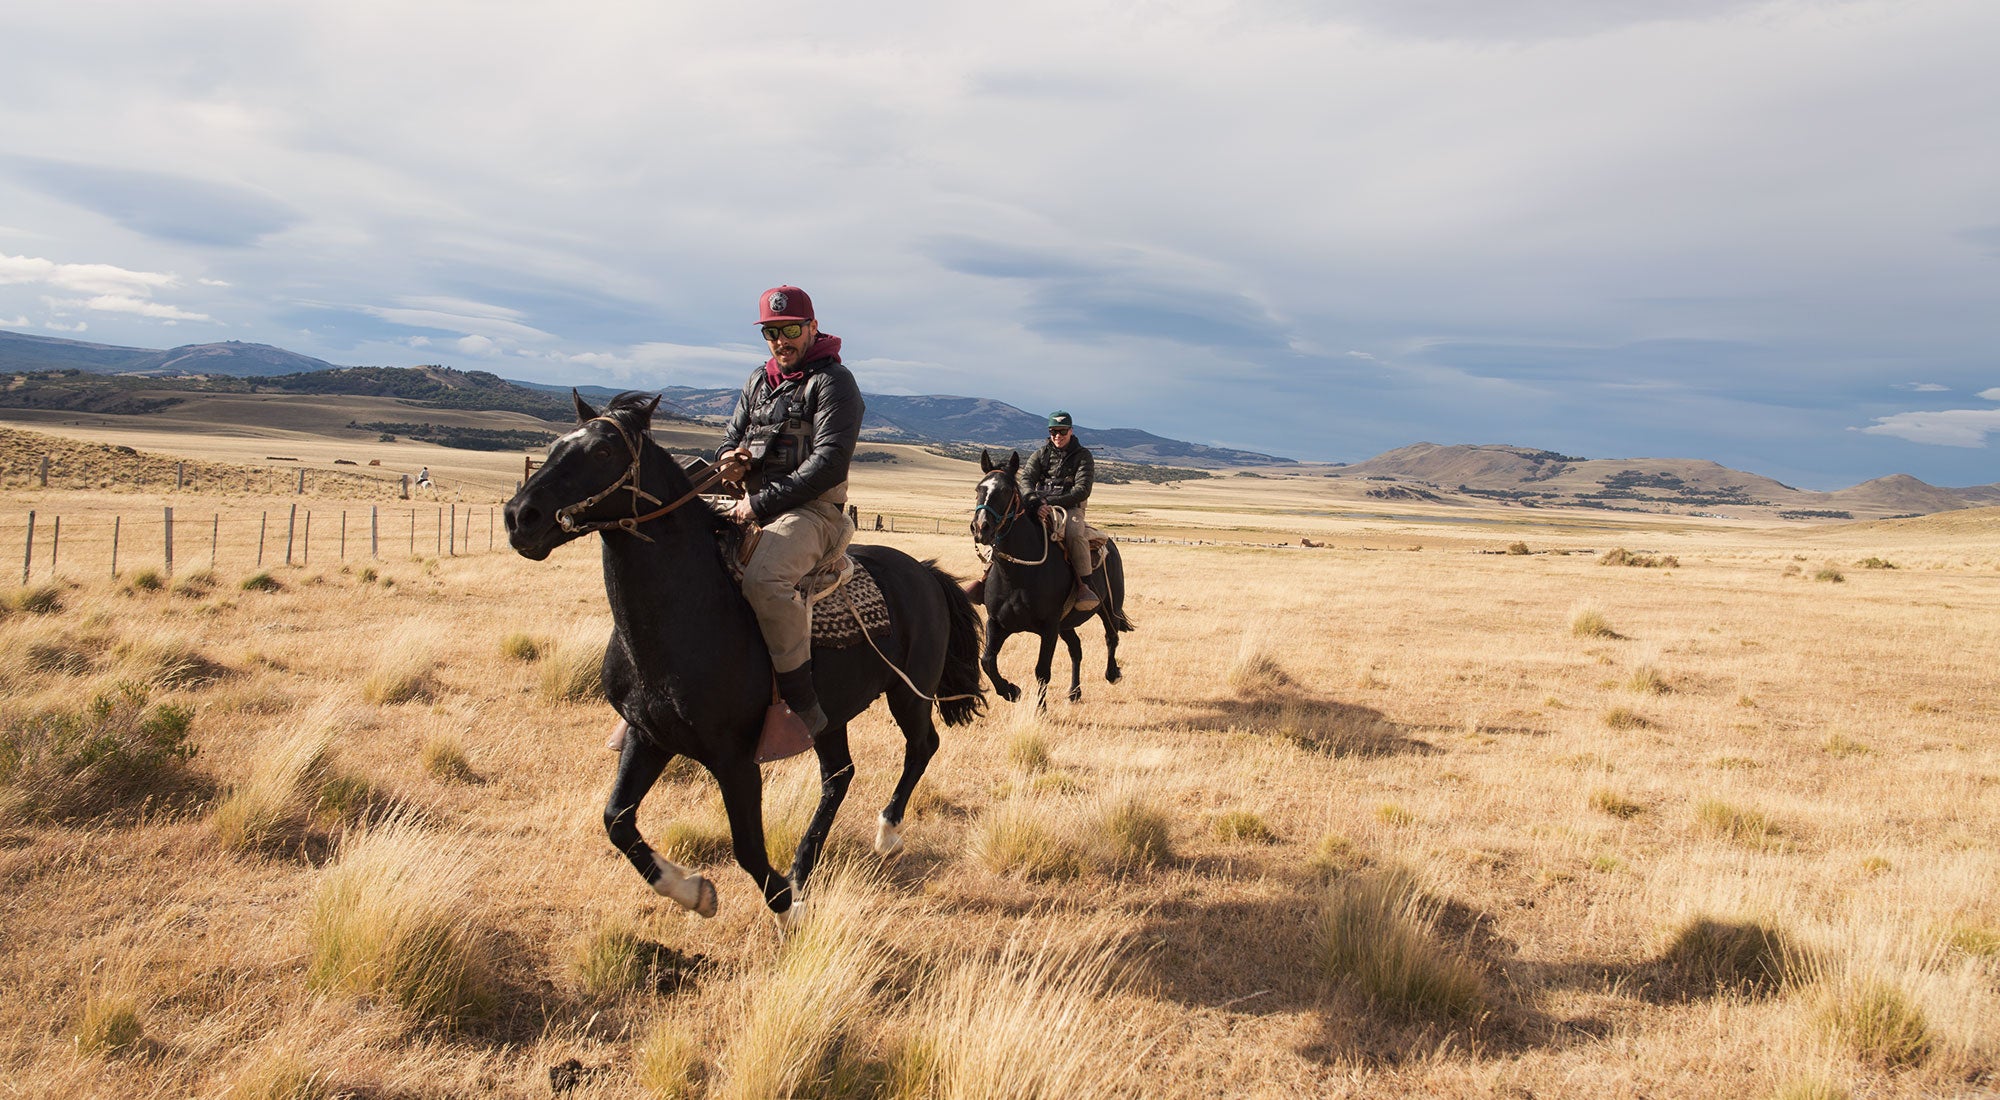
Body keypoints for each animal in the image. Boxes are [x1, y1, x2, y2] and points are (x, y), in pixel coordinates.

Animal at [500, 392, 984, 928]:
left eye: (604, 452)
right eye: (555, 446)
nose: (520, 517)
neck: (690, 613)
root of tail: (924, 572)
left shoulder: (734, 759)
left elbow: (748, 847)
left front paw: (787, 911)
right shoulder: (648, 737)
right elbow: (617, 821)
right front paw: (692, 891)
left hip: (908, 692)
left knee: (921, 747)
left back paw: (886, 833)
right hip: (829, 716)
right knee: (838, 775)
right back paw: (802, 866)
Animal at [972, 452, 1136, 712]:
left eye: (1006, 491)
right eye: (979, 488)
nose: (980, 528)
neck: (1017, 575)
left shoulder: (1049, 628)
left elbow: (1042, 670)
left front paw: (1040, 709)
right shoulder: (997, 622)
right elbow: (987, 661)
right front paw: (1011, 690)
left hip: (1109, 608)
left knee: (1112, 637)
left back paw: (1112, 674)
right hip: (1066, 624)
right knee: (1076, 648)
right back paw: (1075, 692)